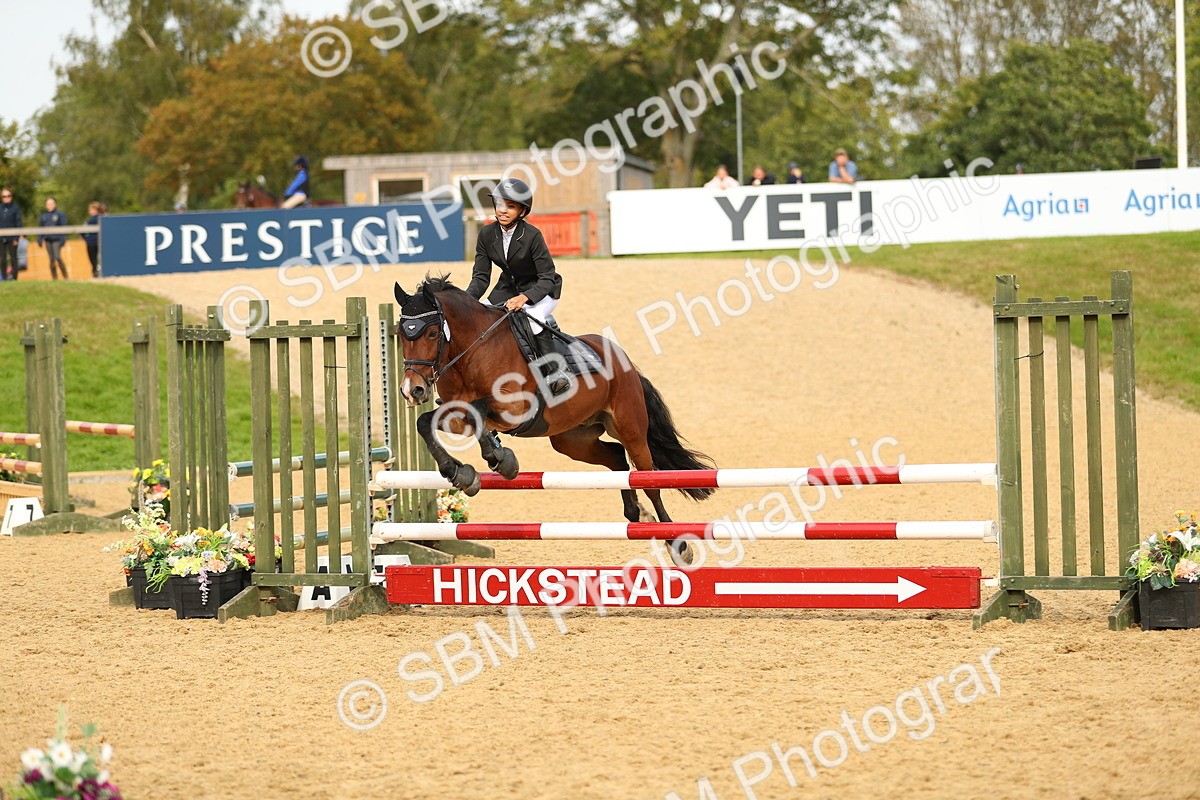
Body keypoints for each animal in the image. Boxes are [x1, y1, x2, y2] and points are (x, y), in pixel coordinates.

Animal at [392, 275, 715, 565]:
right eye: (401, 334)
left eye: (432, 334)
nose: (412, 390)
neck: (469, 352)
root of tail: (622, 358)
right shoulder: (456, 416)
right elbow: (428, 423)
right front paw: (461, 473)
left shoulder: (515, 405)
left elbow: (479, 410)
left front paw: (500, 461)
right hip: (573, 439)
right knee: (616, 459)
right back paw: (636, 513)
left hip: (630, 428)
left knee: (649, 481)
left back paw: (678, 545)